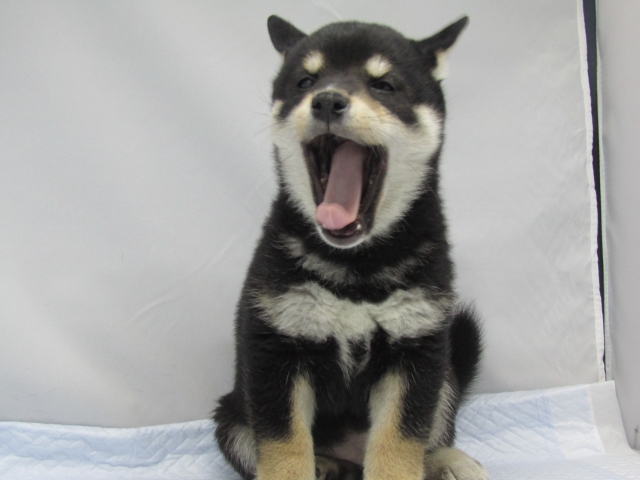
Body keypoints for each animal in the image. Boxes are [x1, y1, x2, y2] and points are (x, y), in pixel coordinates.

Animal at [214, 14, 489, 480]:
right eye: (306, 80)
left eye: (384, 85)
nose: (327, 100)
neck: (355, 268)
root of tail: (349, 456)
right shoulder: (275, 351)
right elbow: (285, 451)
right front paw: (300, 465)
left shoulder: (415, 353)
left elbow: (399, 447)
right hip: (231, 418)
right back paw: (325, 464)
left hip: (445, 375)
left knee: (432, 437)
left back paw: (447, 461)